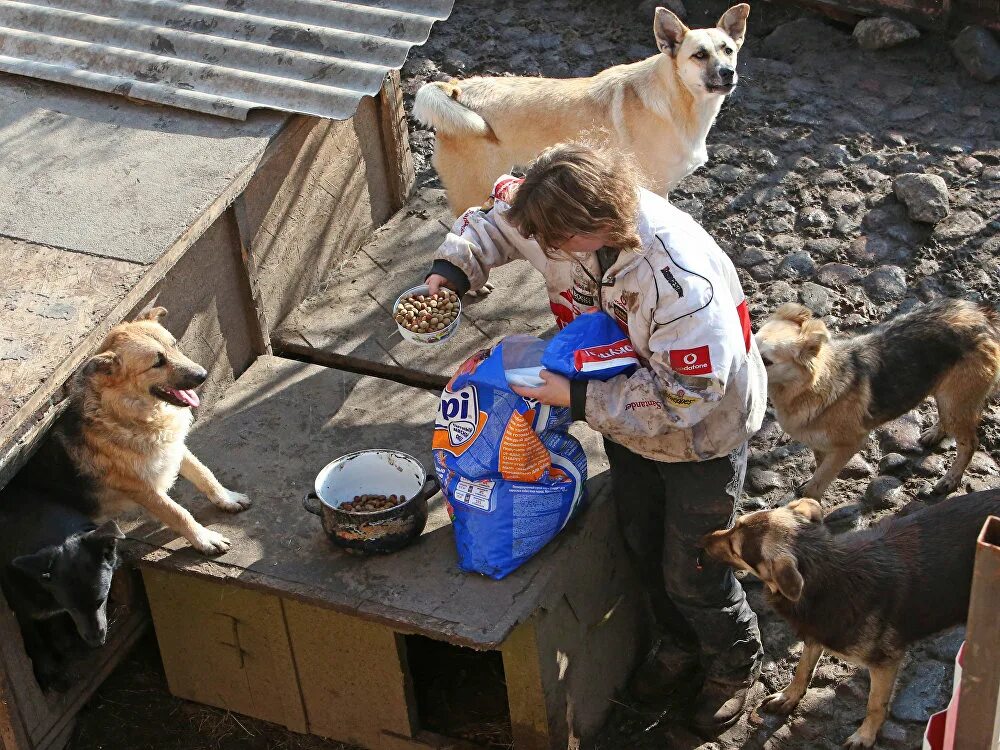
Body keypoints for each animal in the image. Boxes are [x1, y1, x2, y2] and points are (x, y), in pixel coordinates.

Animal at [31, 306, 252, 560]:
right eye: (157, 362)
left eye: (174, 345)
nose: (203, 375)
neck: (127, 414)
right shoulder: (142, 488)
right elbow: (178, 512)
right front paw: (204, 539)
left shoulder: (173, 447)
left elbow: (205, 474)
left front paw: (227, 498)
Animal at [700, 496, 996, 748]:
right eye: (735, 524)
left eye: (736, 549)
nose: (703, 539)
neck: (827, 574)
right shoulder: (816, 634)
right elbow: (802, 669)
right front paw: (789, 696)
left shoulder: (886, 661)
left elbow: (875, 705)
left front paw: (865, 736)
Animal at [756, 300, 1000, 500]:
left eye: (766, 361)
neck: (812, 386)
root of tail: (982, 315)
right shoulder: (820, 442)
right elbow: (819, 467)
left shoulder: (850, 444)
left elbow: (818, 483)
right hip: (948, 398)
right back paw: (934, 433)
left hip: (957, 402)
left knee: (970, 443)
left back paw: (951, 478)